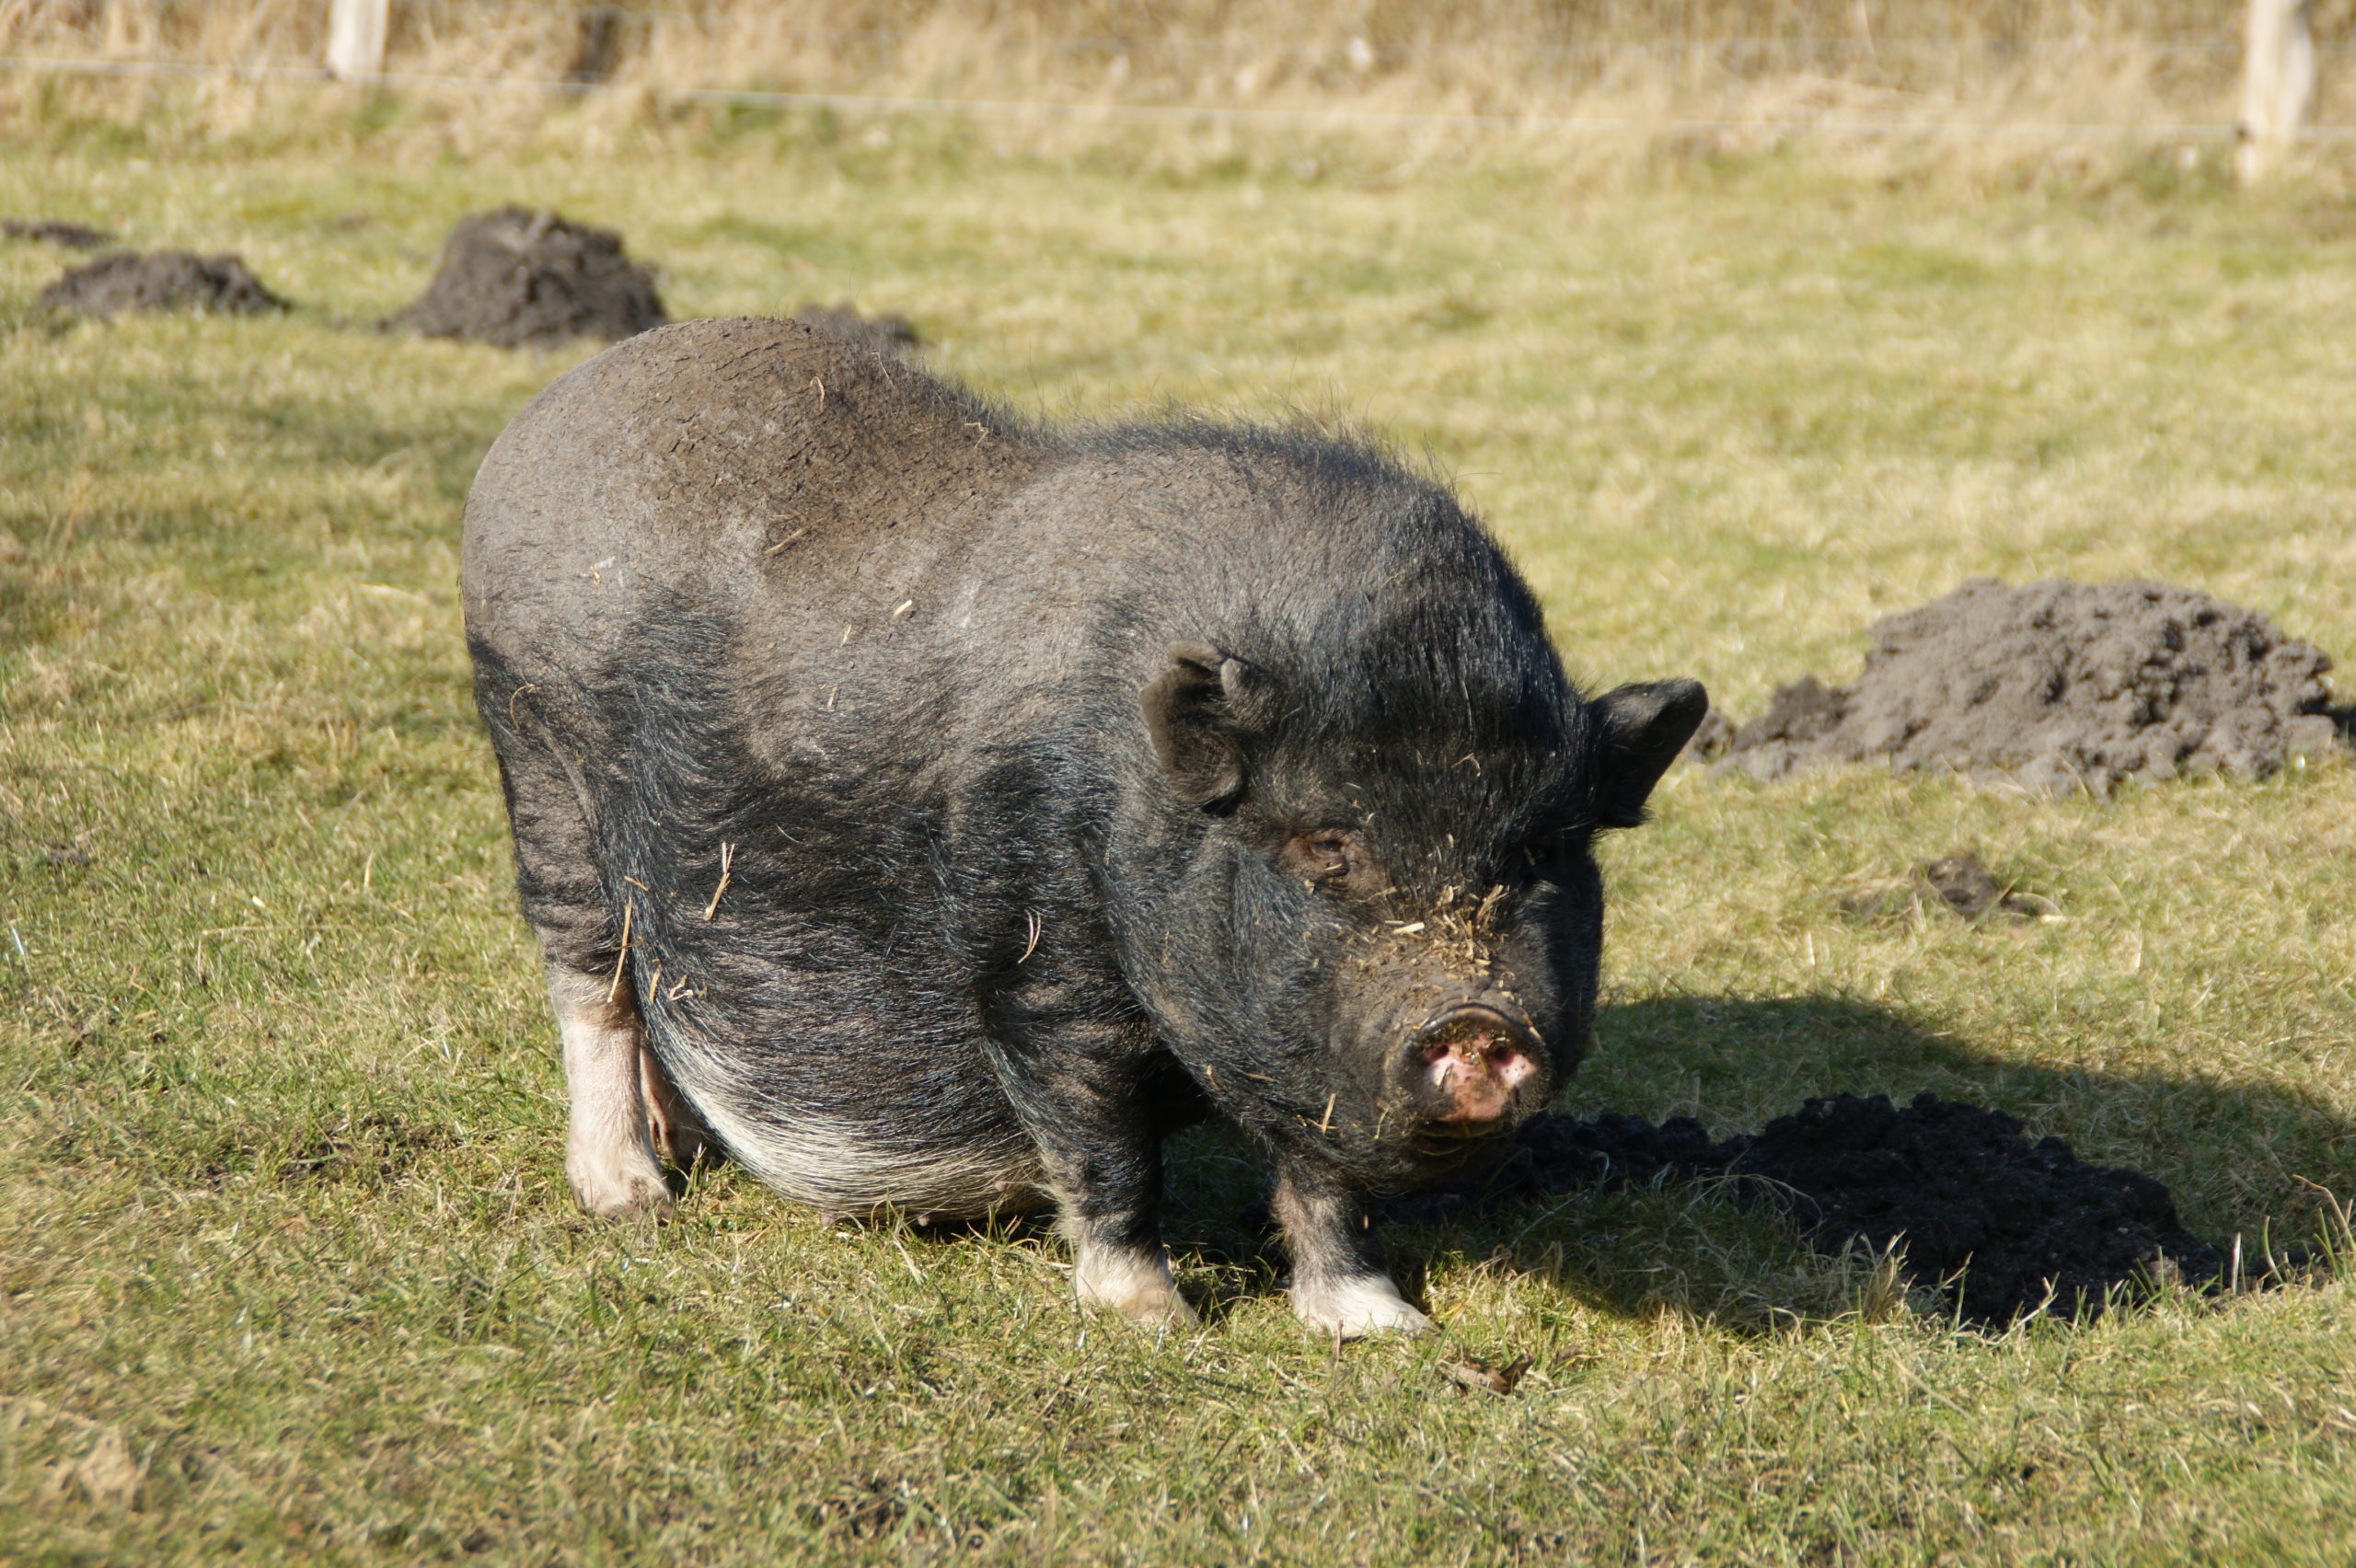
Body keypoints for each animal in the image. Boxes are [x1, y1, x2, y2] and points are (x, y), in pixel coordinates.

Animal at [464, 315, 1715, 1328]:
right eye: (1328, 844)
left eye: (1542, 852)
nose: (1476, 1026)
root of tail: (545, 416)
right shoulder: (1041, 963)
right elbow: (1103, 1142)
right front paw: (1150, 1318)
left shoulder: (1296, 1038)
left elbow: (1321, 1178)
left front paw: (1379, 1326)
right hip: (539, 761)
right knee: (592, 979)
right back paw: (631, 1199)